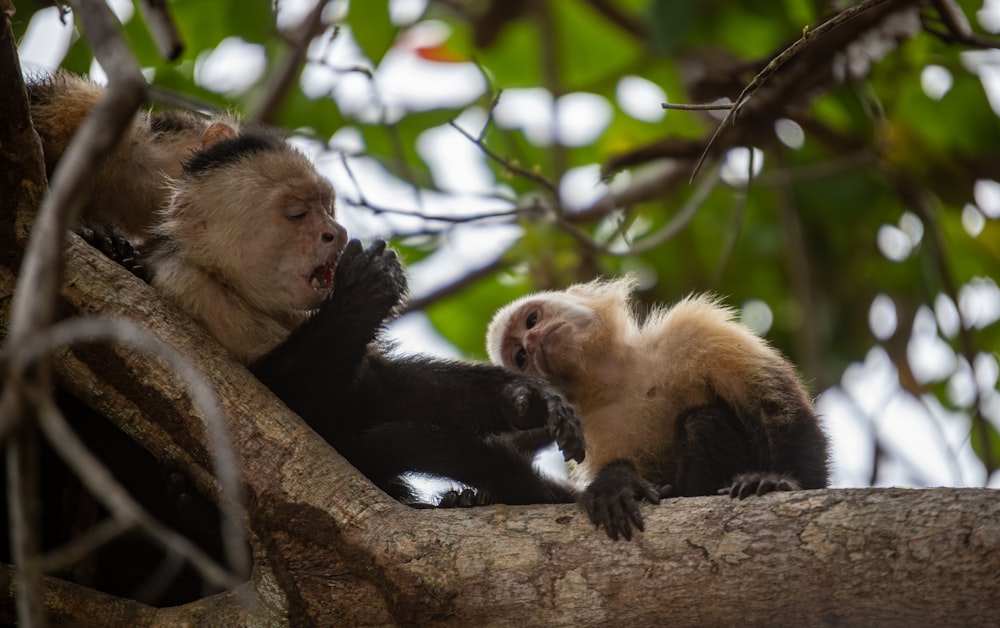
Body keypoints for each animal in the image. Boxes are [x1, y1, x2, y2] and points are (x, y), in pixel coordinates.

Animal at [486, 278, 828, 540]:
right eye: (520, 357)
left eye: (532, 320)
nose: (532, 341)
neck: (617, 379)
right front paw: (617, 482)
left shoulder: (695, 332)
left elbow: (774, 406)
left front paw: (779, 481)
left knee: (702, 421)